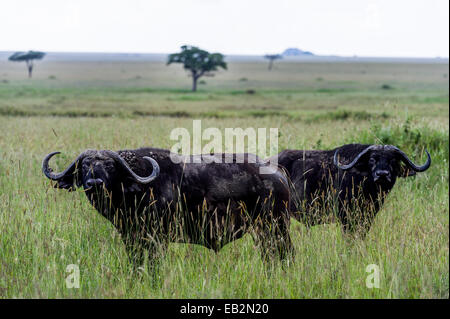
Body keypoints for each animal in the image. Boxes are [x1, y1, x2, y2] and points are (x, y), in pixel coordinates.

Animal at [43, 149, 292, 266]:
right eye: (85, 165)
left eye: (110, 166)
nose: (94, 182)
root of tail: (277, 173)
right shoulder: (130, 238)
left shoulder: (157, 239)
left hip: (274, 228)